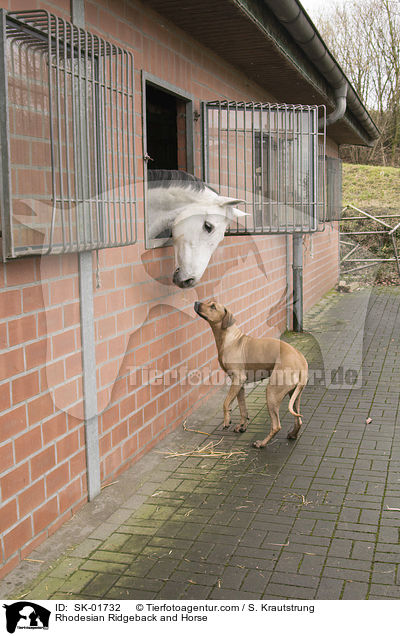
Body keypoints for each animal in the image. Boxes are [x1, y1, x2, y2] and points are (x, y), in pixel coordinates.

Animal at [195, 302, 310, 448]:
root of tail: (301, 361)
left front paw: (227, 420)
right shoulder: (239, 385)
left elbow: (226, 403)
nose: (196, 303)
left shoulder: (237, 380)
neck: (230, 338)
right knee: (298, 420)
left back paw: (261, 443)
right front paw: (242, 426)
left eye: (213, 306)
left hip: (272, 393)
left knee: (276, 426)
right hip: (294, 395)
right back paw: (292, 435)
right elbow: (243, 409)